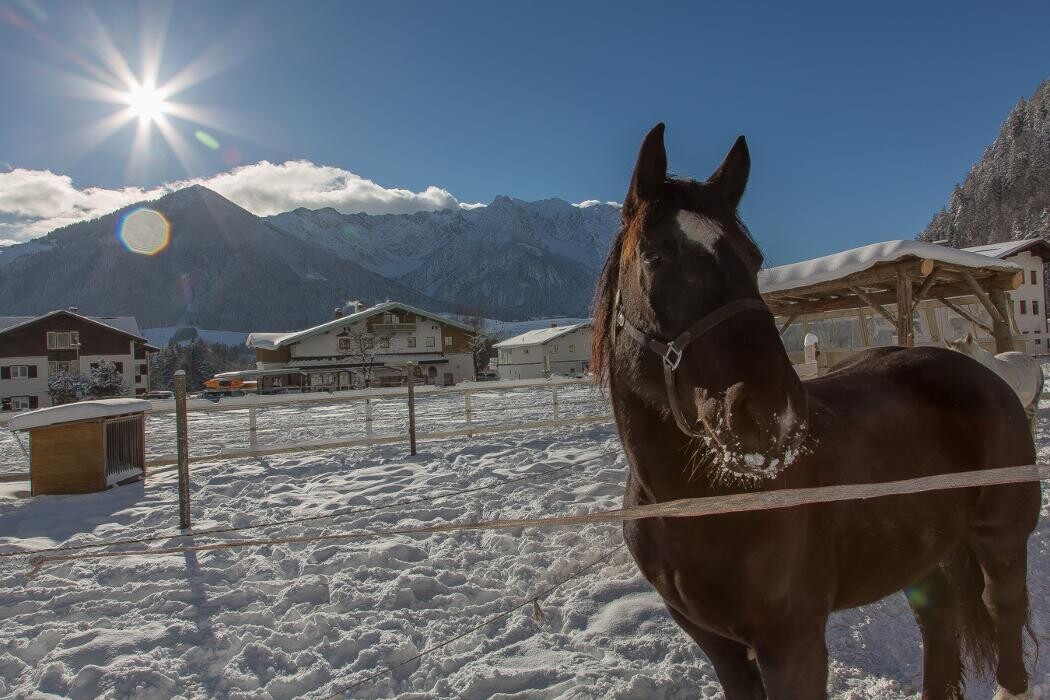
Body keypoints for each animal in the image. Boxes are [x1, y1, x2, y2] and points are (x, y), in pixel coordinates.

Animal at [592, 123, 1041, 696]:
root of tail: (984, 371)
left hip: (1001, 538)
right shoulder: (717, 645)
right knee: (938, 620)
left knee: (1005, 614)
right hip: (923, 551)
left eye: (754, 258)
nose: (770, 413)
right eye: (655, 257)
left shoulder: (793, 643)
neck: (696, 503)